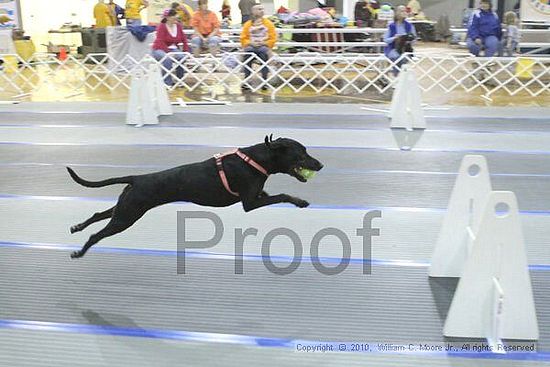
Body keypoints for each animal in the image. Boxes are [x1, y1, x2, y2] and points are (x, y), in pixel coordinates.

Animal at [68, 137, 324, 260]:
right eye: (301, 154)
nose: (320, 164)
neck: (255, 159)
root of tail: (137, 178)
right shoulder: (250, 203)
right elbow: (281, 195)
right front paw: (300, 201)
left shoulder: (257, 196)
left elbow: (272, 194)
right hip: (127, 216)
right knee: (96, 235)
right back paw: (79, 252)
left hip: (125, 208)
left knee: (98, 214)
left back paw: (77, 226)